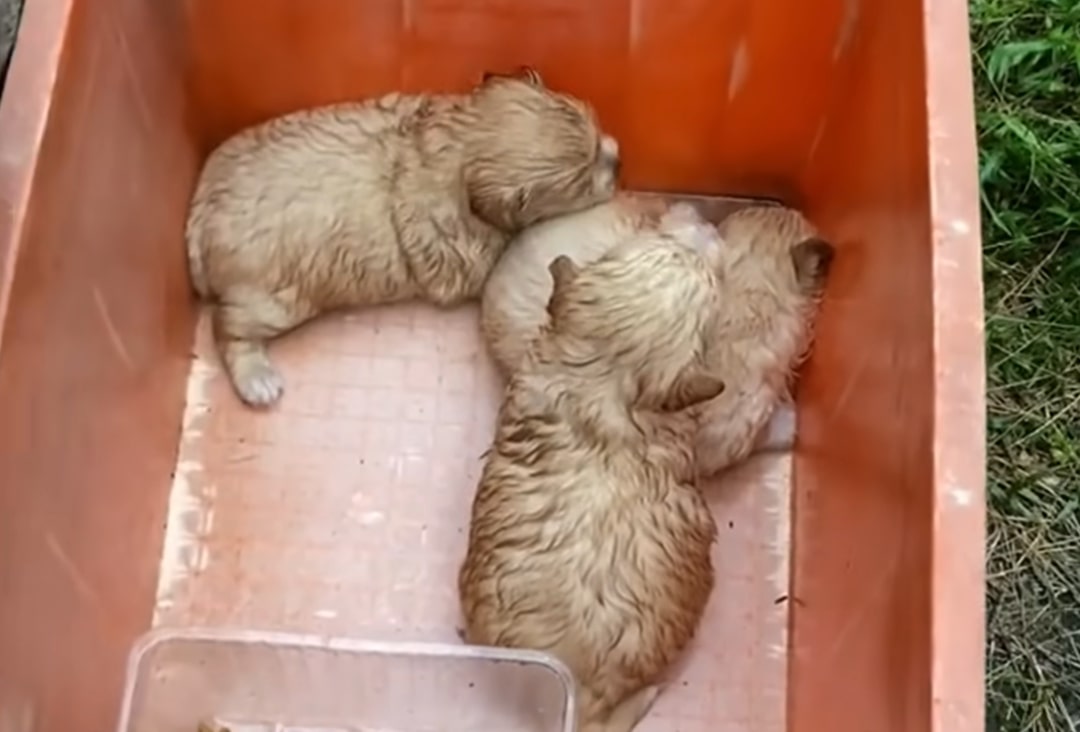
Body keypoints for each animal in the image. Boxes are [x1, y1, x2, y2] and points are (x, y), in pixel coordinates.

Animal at [187, 66, 617, 410]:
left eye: (599, 133)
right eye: (583, 182)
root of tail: (201, 208)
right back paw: (256, 378)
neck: (458, 147)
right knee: (228, 328)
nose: (619, 161)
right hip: (272, 300)